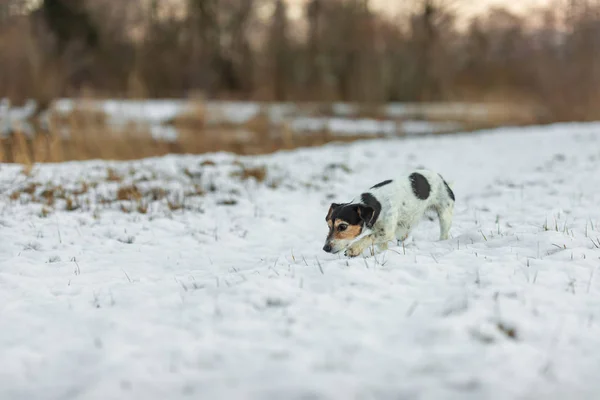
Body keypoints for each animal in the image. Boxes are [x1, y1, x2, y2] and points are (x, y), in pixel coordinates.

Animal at [324, 168, 454, 256]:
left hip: (445, 214)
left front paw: (354, 249)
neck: (377, 204)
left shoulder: (387, 232)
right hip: (403, 229)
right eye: (329, 226)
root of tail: (440, 177)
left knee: (444, 232)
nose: (325, 248)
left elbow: (368, 237)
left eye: (343, 226)